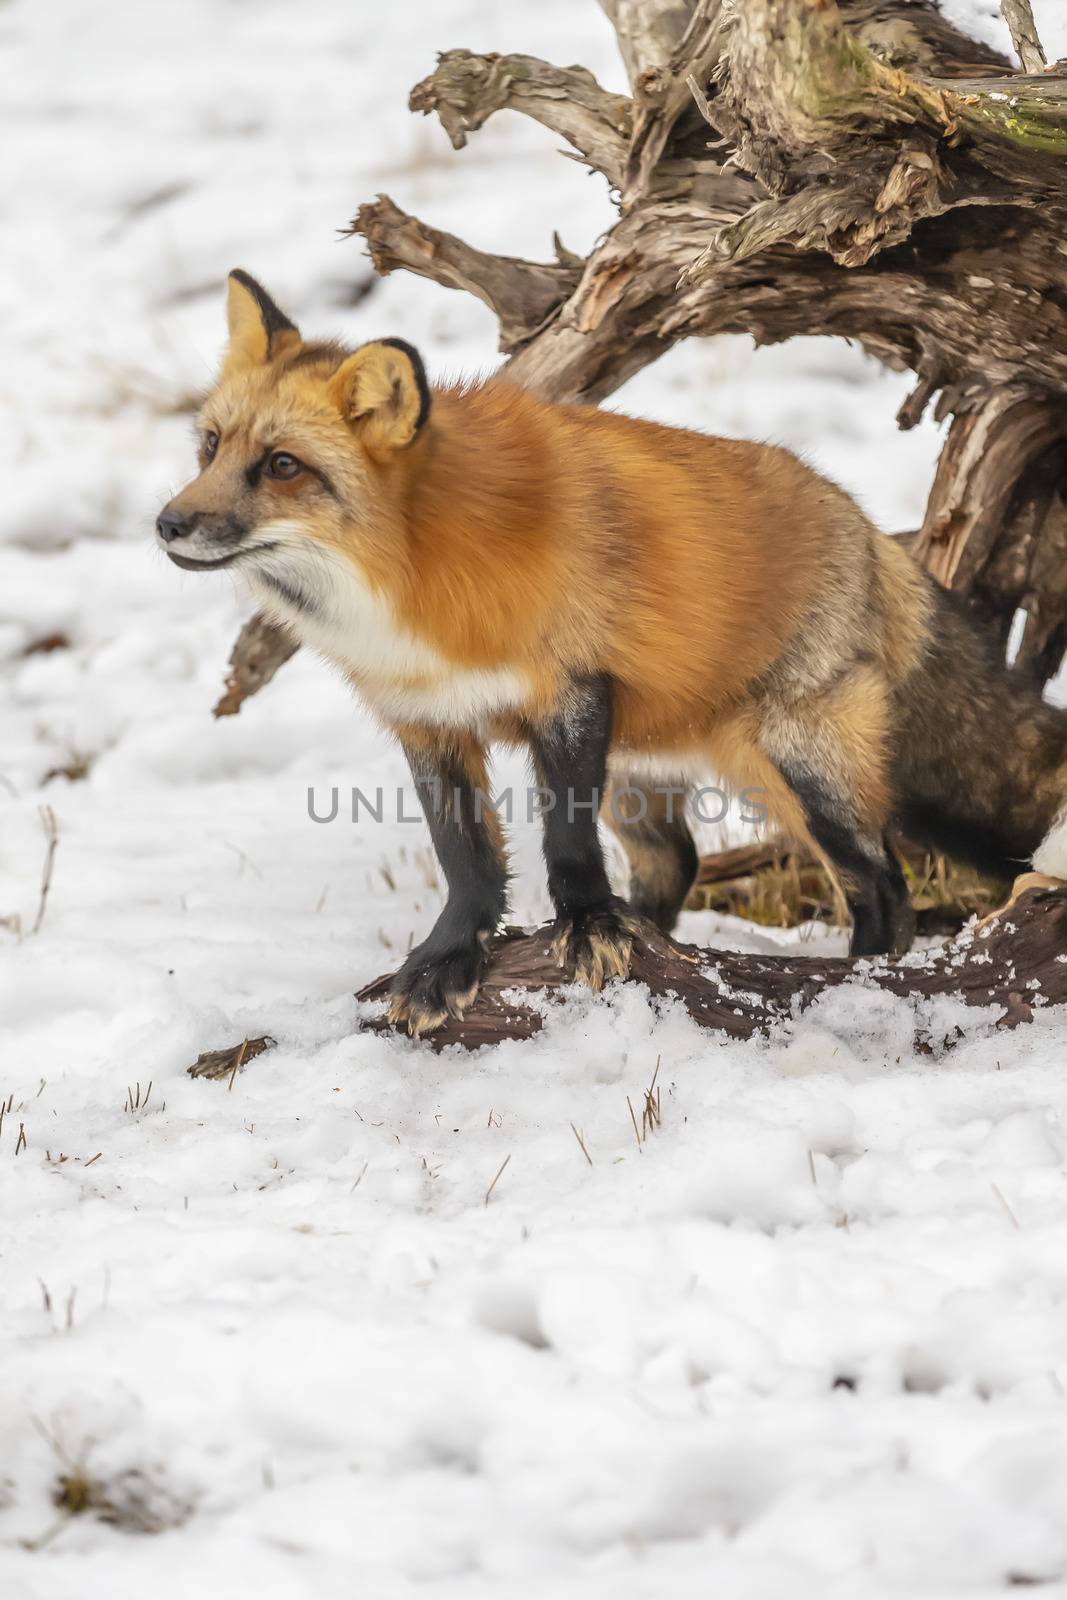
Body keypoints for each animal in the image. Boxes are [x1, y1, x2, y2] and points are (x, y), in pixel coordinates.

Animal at [154, 270, 1067, 1030]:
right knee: (676, 864)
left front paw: (587, 925)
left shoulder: (569, 694)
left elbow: (562, 839)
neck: (417, 585)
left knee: (883, 884)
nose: (168, 523)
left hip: (799, 765)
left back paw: (858, 982)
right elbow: (466, 859)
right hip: (641, 768)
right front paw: (452, 958)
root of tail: (869, 529)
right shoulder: (428, 721)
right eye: (211, 448)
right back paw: (664, 952)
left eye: (282, 466)